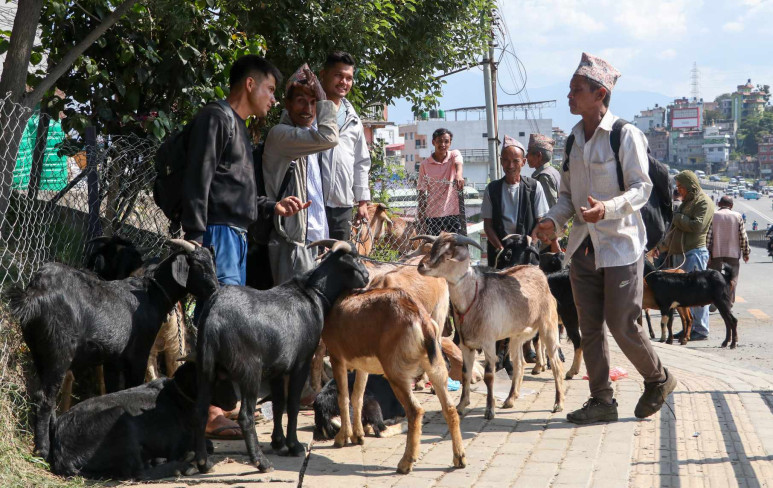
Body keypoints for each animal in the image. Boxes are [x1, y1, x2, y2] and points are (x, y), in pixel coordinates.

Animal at [5, 240, 217, 458]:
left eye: (212, 262)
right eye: (197, 265)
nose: (215, 290)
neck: (150, 295)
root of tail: (34, 295)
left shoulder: (114, 359)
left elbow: (114, 389)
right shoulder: (139, 353)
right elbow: (133, 384)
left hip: (38, 351)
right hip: (59, 352)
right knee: (45, 397)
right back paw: (43, 449)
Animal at [48, 362, 235, 480]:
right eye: (220, 376)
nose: (235, 401)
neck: (179, 395)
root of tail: (63, 456)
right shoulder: (177, 444)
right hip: (121, 418)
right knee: (138, 473)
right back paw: (180, 466)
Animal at [191, 240, 370, 472]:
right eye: (355, 258)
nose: (367, 276)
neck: (312, 294)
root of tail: (214, 315)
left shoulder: (276, 368)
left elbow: (277, 404)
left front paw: (278, 442)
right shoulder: (301, 362)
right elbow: (291, 403)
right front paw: (294, 445)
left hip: (206, 368)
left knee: (199, 412)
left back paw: (204, 463)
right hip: (250, 371)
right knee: (246, 416)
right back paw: (261, 462)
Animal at [322, 286, 464, 472]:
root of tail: (420, 319)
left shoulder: (337, 358)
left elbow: (343, 398)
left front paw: (342, 438)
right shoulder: (362, 366)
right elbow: (357, 397)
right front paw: (358, 436)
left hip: (397, 374)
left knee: (415, 410)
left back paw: (405, 463)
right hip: (436, 368)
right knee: (449, 408)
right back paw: (459, 458)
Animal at [420, 233, 564, 420]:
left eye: (446, 252)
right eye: (433, 247)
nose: (421, 266)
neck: (474, 297)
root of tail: (539, 272)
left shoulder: (488, 342)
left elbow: (489, 375)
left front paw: (489, 410)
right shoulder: (466, 344)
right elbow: (465, 373)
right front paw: (461, 406)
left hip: (548, 325)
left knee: (555, 363)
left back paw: (558, 403)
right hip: (517, 335)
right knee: (519, 364)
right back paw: (510, 399)